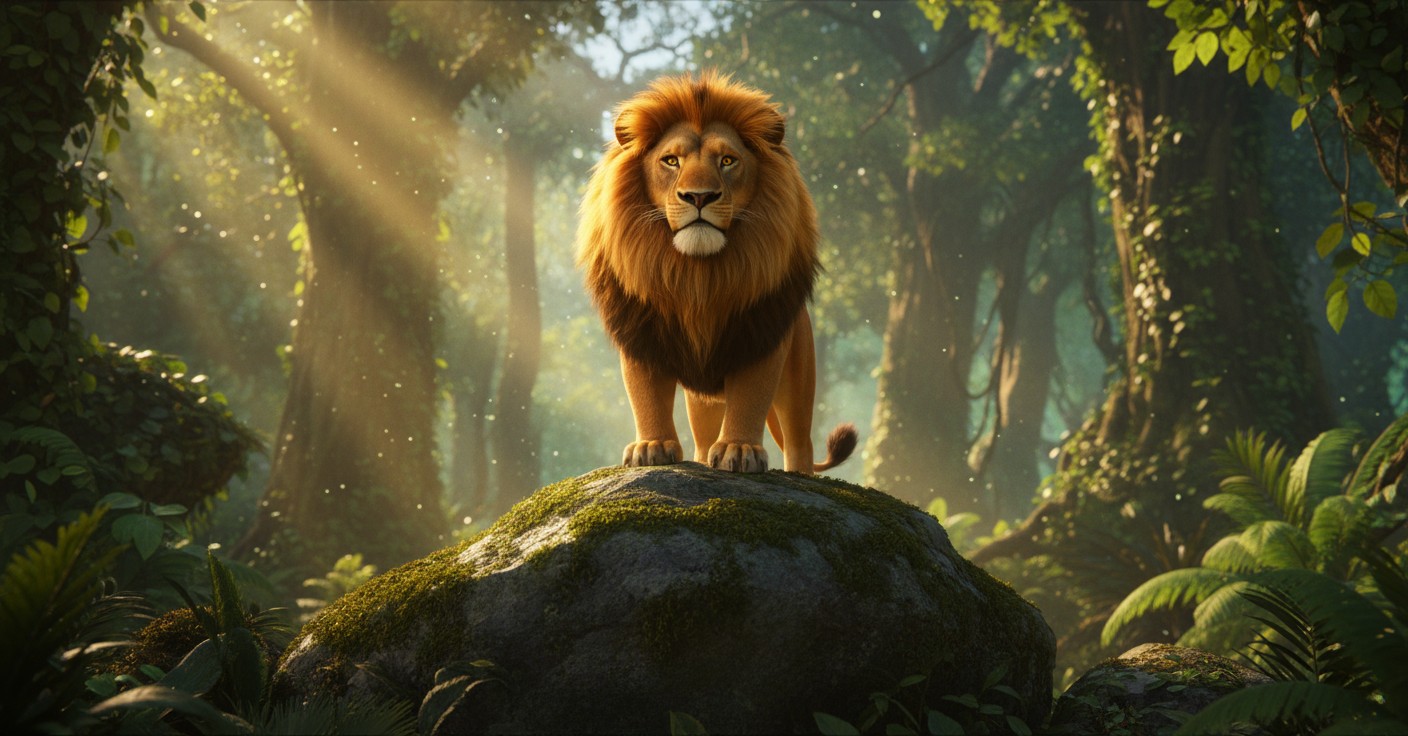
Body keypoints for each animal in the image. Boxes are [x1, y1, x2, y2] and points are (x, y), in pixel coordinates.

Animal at [576, 71, 857, 474]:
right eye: (671, 160)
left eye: (727, 160)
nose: (699, 196)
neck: (698, 275)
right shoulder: (641, 331)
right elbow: (646, 393)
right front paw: (651, 445)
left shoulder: (759, 332)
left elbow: (751, 395)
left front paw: (740, 449)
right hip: (703, 399)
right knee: (703, 438)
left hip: (798, 377)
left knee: (798, 442)